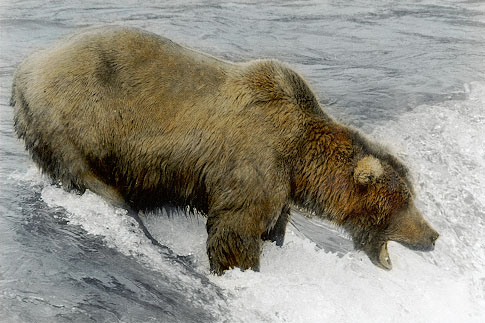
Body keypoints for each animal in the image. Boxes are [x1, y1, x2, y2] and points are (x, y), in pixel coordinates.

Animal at [11, 26, 438, 276]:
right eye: (403, 201)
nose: (433, 236)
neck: (299, 158)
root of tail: (25, 67)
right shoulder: (253, 164)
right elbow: (235, 231)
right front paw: (241, 270)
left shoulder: (280, 186)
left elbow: (273, 224)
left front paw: (274, 242)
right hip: (76, 120)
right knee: (92, 179)